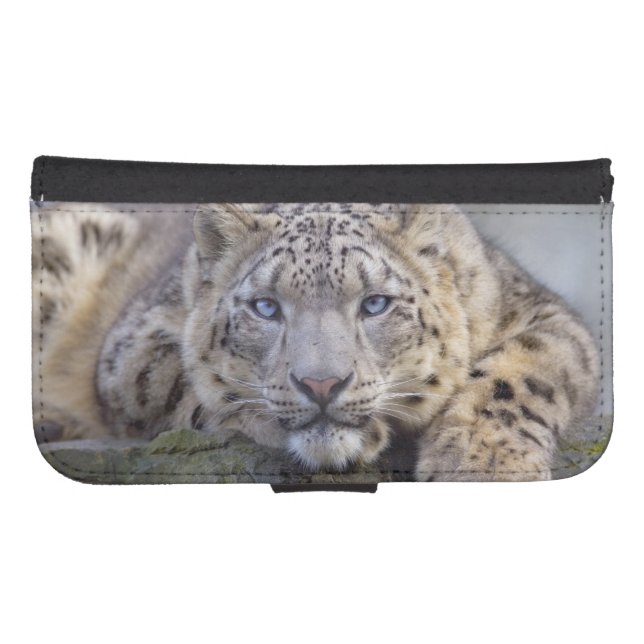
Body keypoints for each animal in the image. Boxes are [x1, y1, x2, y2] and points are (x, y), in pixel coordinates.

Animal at [32, 202, 600, 481]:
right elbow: (194, 384)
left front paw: (486, 463)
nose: (322, 384)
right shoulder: (135, 344)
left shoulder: (543, 314)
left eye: (375, 303)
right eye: (265, 307)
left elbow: (525, 371)